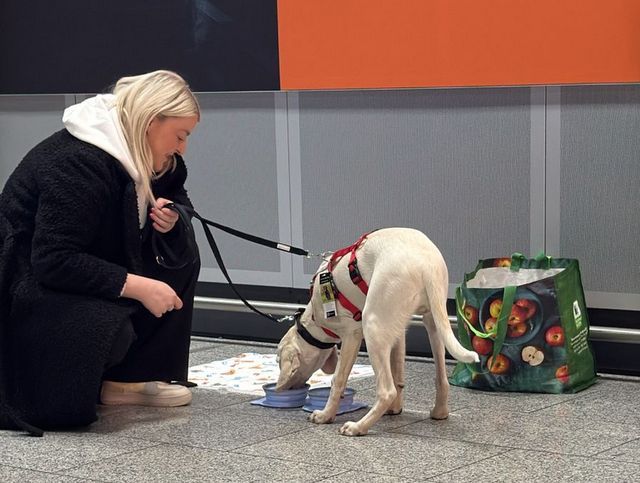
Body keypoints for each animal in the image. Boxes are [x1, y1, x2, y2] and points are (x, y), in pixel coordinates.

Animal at [276, 227, 479, 436]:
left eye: (277, 360)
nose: (284, 388)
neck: (314, 319)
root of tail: (427, 264)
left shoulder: (351, 336)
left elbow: (338, 379)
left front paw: (326, 415)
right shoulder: (398, 334)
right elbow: (398, 374)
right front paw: (395, 409)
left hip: (372, 325)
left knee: (386, 390)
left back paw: (358, 427)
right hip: (432, 321)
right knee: (440, 378)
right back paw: (439, 412)